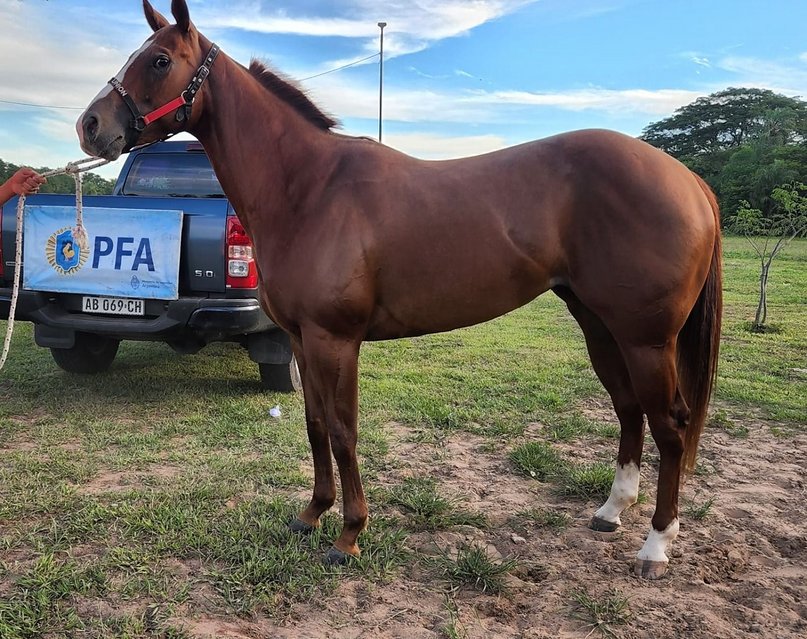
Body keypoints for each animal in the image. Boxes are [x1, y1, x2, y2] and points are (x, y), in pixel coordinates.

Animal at [77, 0, 722, 580]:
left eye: (159, 60)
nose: (90, 126)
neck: (308, 187)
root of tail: (688, 181)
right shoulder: (303, 340)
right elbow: (314, 424)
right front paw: (312, 515)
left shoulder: (336, 340)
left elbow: (343, 431)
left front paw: (348, 536)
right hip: (599, 324)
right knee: (629, 409)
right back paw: (612, 511)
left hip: (645, 339)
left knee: (671, 424)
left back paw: (656, 546)